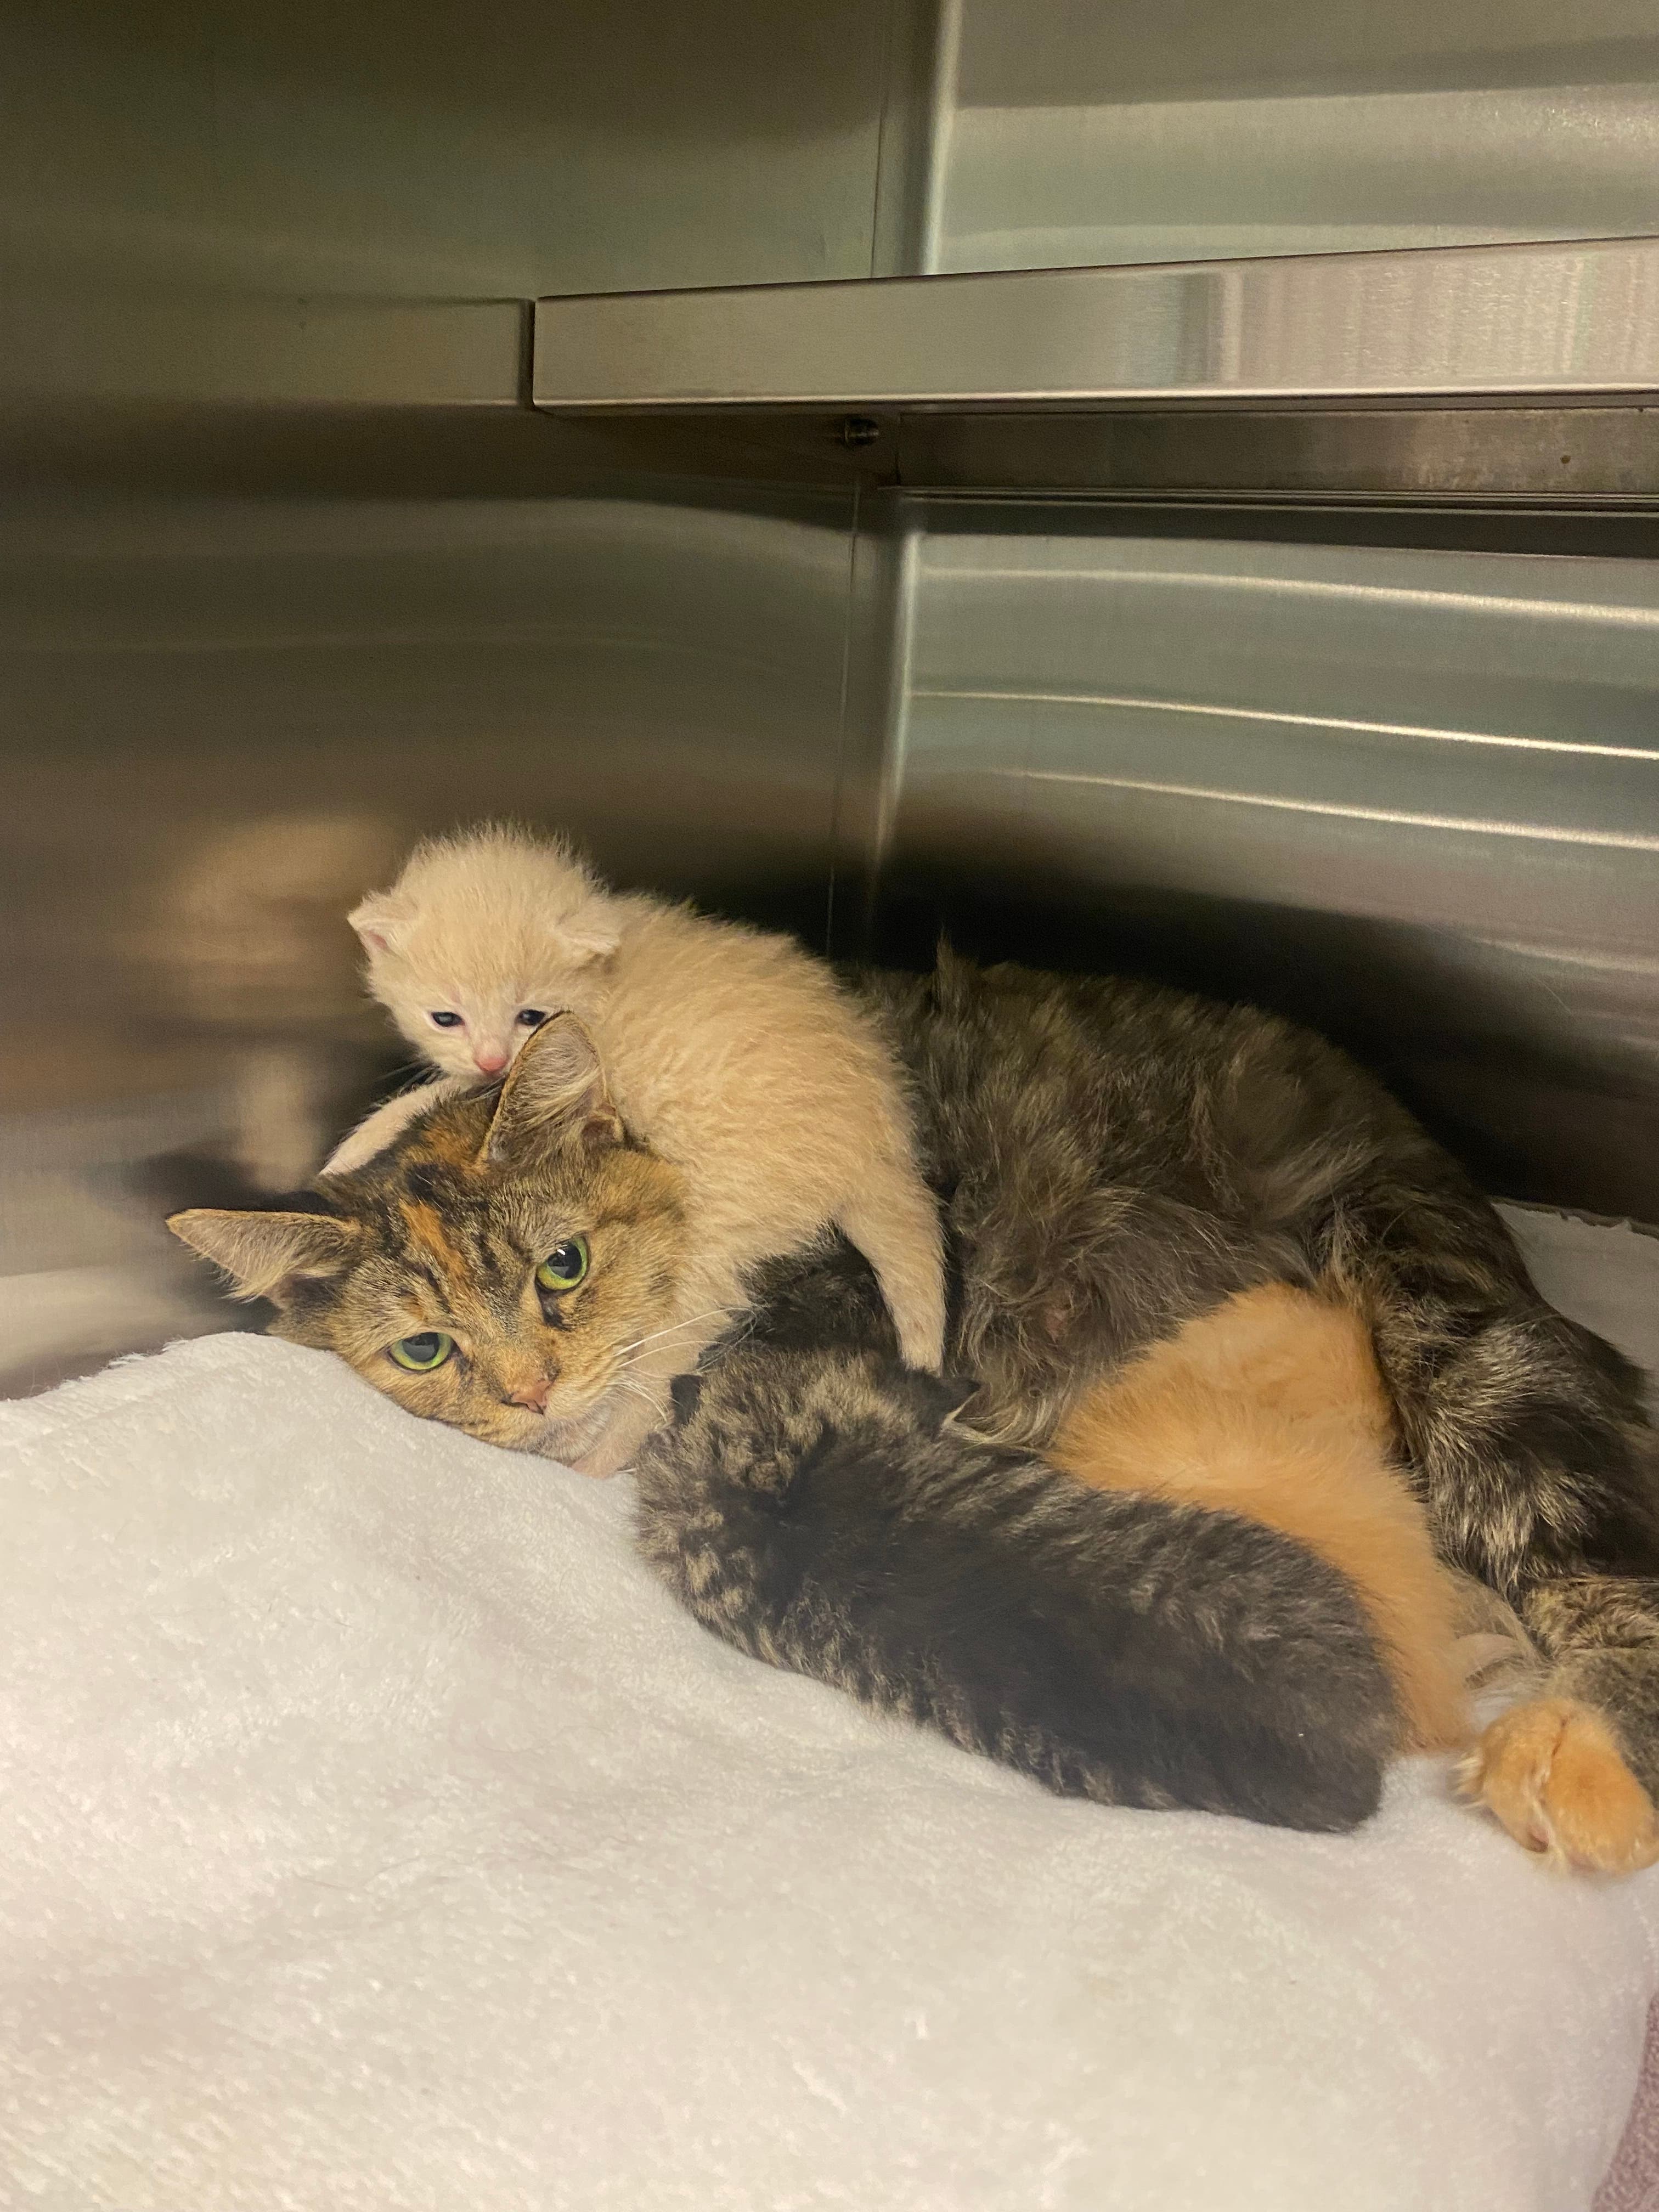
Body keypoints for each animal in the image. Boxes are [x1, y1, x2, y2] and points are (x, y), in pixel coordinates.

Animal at [327, 824, 947, 1452]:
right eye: (445, 1018)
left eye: (531, 1015)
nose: (492, 1056)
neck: (606, 980)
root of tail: (878, 1142)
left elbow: (438, 1094)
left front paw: (356, 1146)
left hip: (717, 1221)